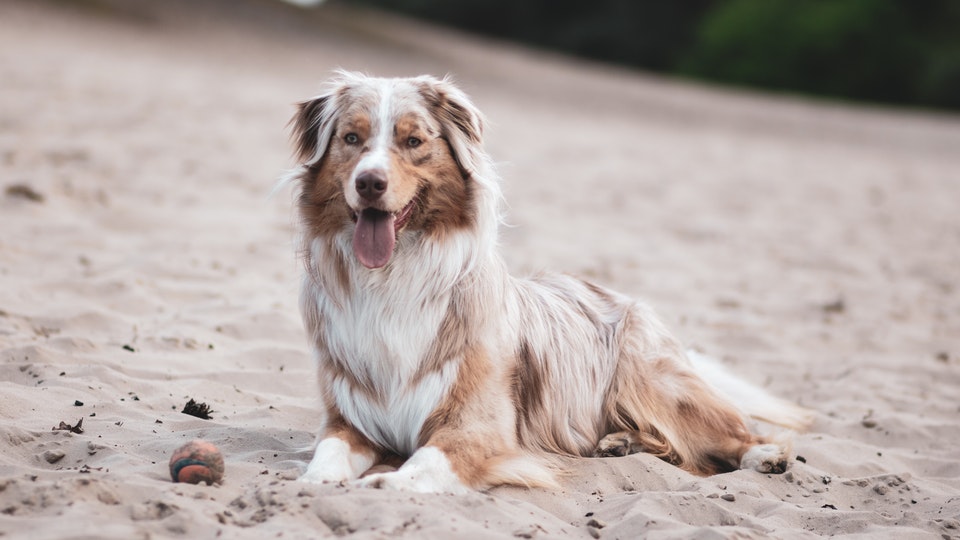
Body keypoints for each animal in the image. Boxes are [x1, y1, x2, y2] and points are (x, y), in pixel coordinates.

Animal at [286, 71, 808, 494]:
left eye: (413, 141)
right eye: (351, 138)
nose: (369, 182)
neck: (392, 278)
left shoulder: (476, 424)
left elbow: (427, 461)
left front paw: (387, 482)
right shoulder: (348, 417)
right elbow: (328, 449)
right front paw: (317, 480)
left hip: (652, 381)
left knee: (730, 434)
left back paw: (764, 455)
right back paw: (620, 442)